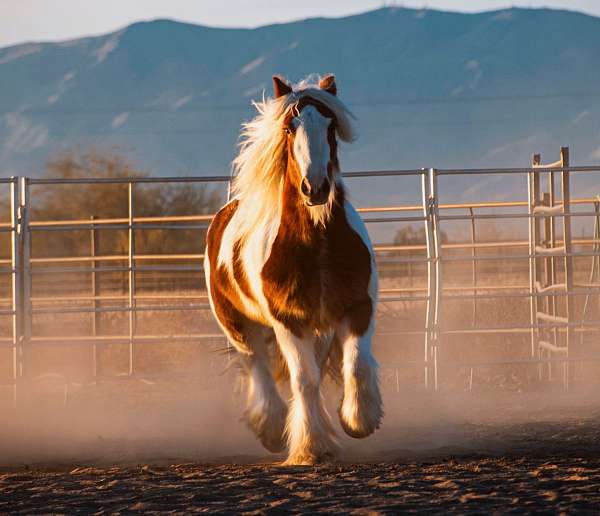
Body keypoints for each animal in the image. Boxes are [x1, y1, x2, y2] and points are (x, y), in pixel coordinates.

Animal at [206, 71, 382, 464]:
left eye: (330, 126)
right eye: (290, 127)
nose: (314, 188)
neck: (316, 243)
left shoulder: (357, 307)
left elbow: (355, 364)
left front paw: (358, 420)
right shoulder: (288, 320)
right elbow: (304, 380)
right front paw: (311, 447)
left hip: (320, 329)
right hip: (237, 324)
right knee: (256, 364)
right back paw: (272, 428)